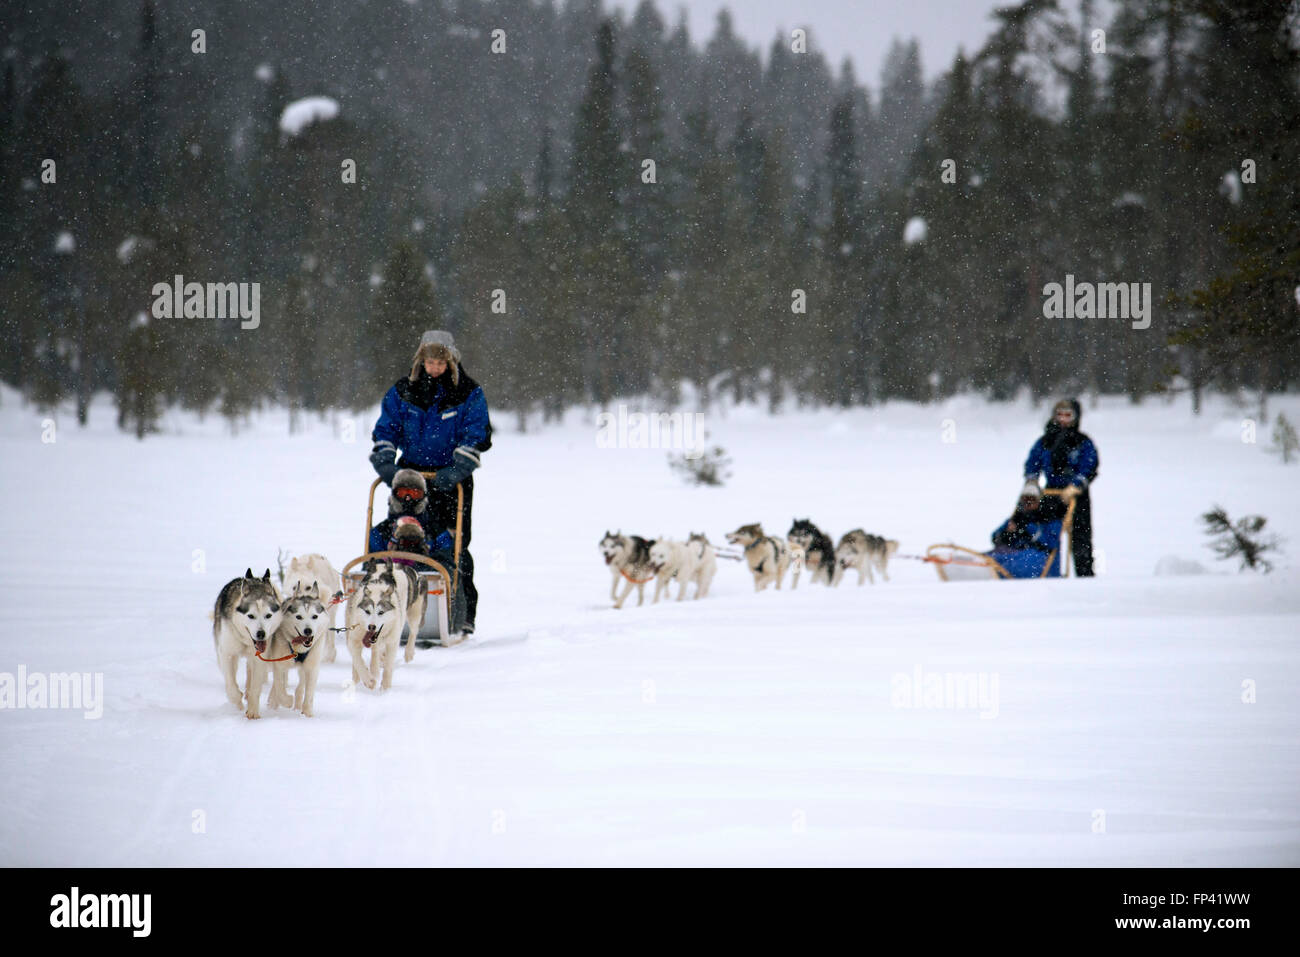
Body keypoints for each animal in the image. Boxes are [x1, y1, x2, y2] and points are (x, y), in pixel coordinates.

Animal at [210, 566, 282, 717]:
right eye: (251, 616)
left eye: (268, 615)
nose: (261, 634)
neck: (245, 641)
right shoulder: (226, 654)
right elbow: (231, 685)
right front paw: (237, 702)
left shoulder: (260, 659)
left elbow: (255, 686)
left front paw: (253, 712)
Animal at [345, 556, 426, 691]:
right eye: (367, 611)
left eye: (381, 612)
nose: (371, 626)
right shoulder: (354, 638)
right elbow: (358, 660)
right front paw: (368, 680)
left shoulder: (392, 641)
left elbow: (388, 665)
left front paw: (385, 687)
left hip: (415, 614)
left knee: (413, 632)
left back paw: (408, 652)